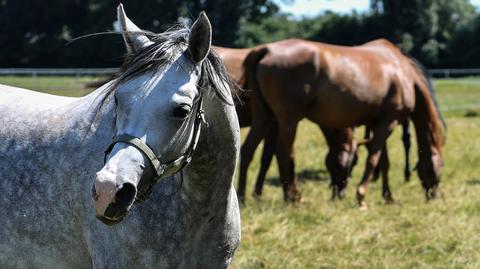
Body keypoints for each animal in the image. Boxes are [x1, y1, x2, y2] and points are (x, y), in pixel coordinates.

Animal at [242, 37, 444, 206]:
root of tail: (266, 50)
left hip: (264, 118)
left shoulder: (379, 123)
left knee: (247, 150)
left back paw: (243, 197)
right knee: (283, 153)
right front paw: (361, 196)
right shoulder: (388, 123)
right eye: (441, 166)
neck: (401, 72)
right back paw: (292, 197)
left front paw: (388, 197)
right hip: (288, 120)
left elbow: (384, 162)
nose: (434, 195)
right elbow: (373, 159)